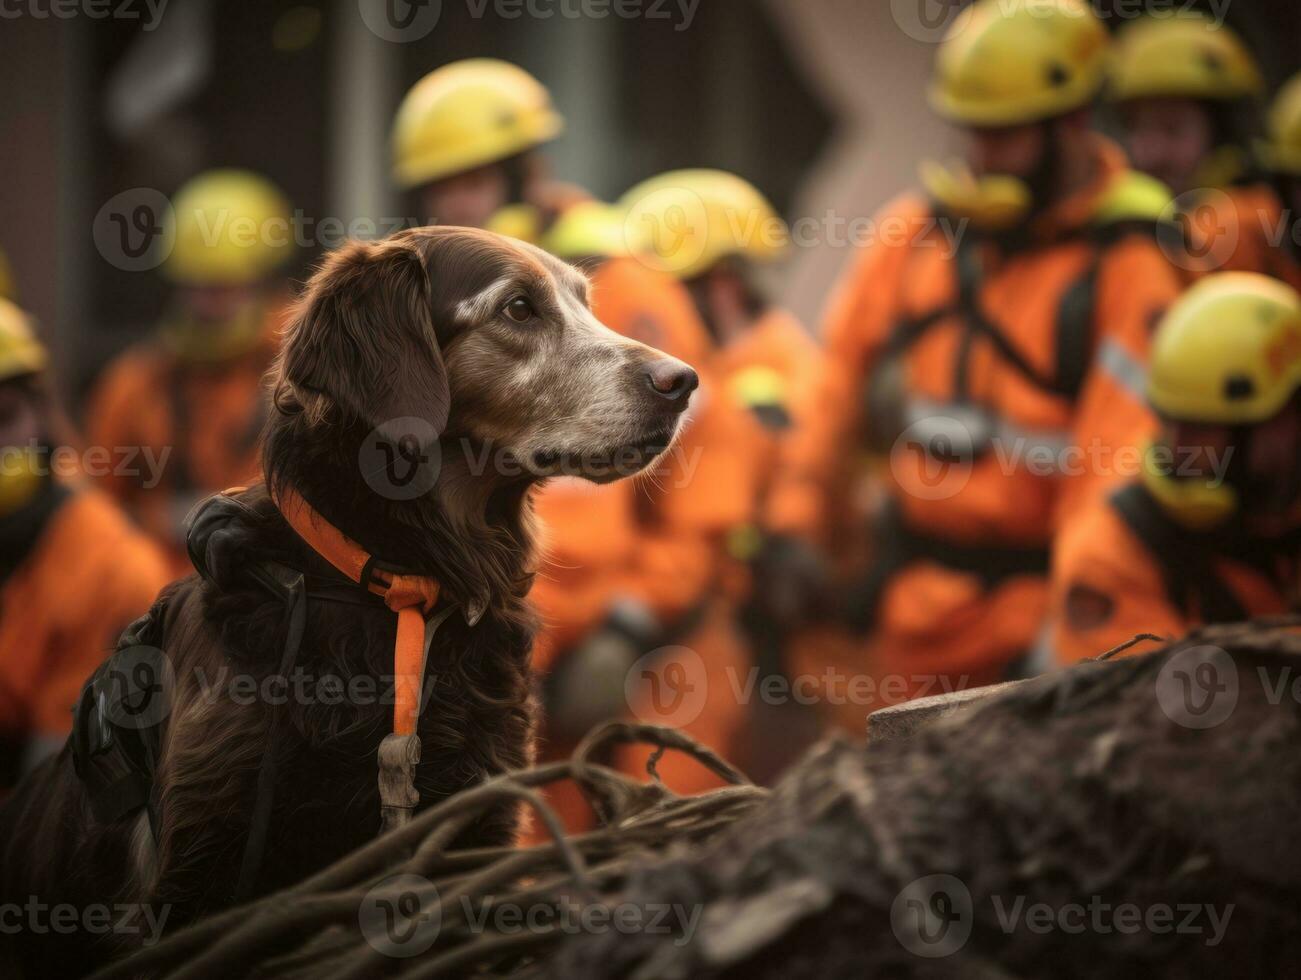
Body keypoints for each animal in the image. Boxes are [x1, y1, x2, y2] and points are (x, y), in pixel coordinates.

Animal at [0, 227, 697, 973]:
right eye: (517, 308)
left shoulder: (478, 820)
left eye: (584, 302)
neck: (398, 586)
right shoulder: (204, 856)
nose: (684, 382)